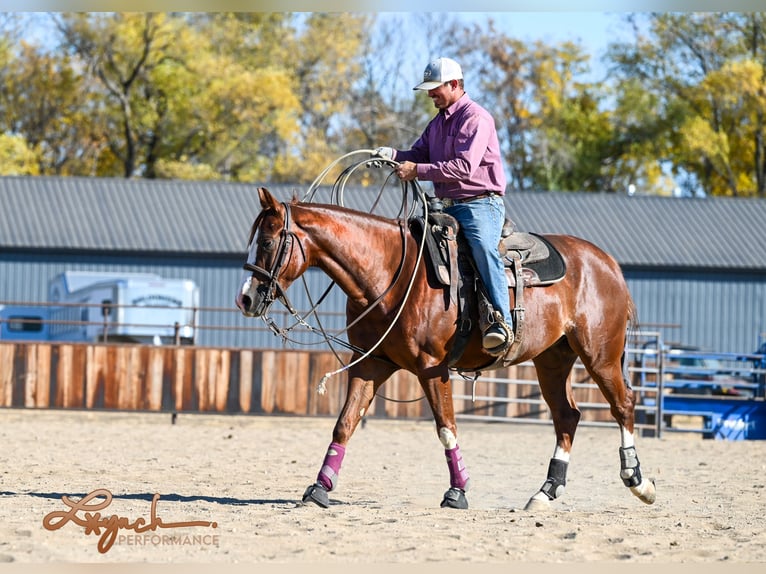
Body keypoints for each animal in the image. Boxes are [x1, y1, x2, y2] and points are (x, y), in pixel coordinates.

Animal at [237, 187, 656, 510]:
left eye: (268, 241)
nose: (246, 299)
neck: (391, 274)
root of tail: (606, 263)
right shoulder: (370, 364)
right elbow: (345, 423)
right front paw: (319, 488)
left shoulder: (432, 367)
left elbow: (446, 428)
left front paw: (457, 492)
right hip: (552, 360)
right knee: (567, 416)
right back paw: (545, 492)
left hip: (600, 354)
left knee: (623, 404)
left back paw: (638, 481)